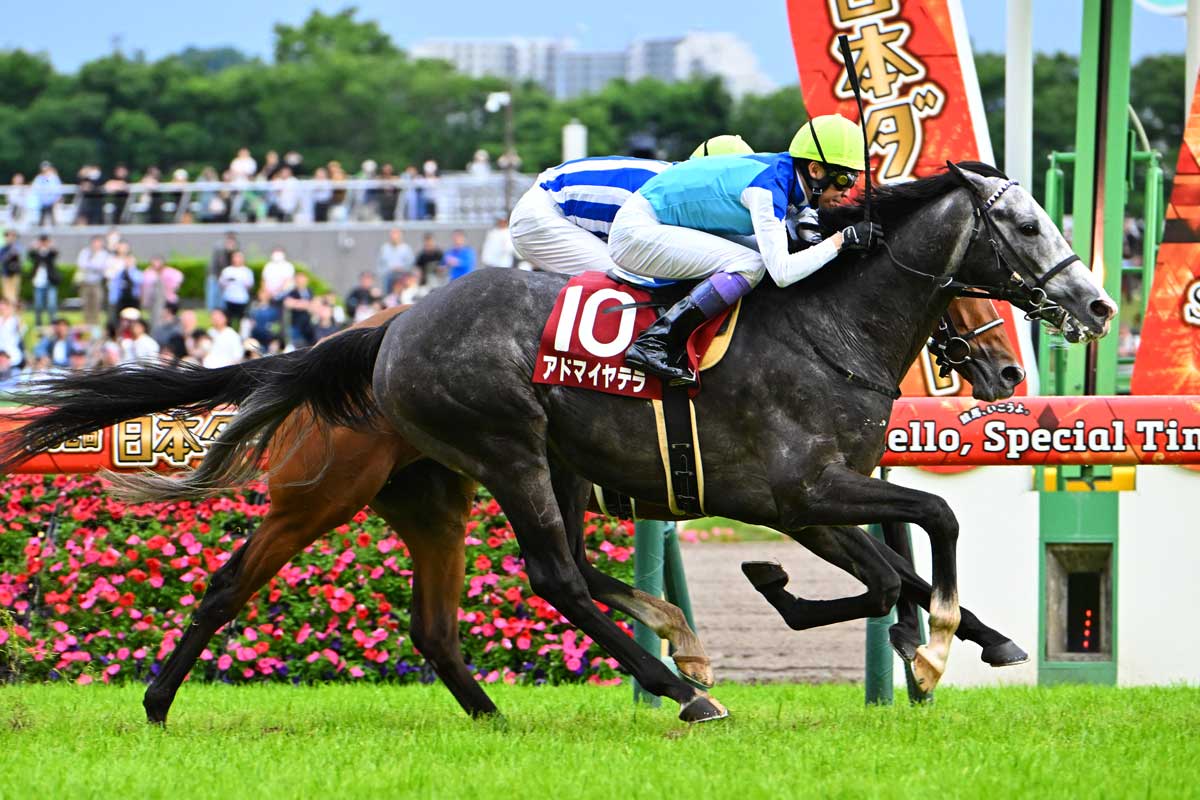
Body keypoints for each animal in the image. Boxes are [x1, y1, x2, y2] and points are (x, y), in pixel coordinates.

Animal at [1, 162, 1114, 722]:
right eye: (1021, 224)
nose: (1097, 304)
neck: (824, 326)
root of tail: (380, 332)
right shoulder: (796, 491)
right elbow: (930, 524)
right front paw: (929, 648)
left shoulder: (819, 495)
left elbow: (902, 560)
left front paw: (955, 643)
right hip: (481, 458)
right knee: (543, 576)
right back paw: (682, 688)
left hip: (443, 492)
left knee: (451, 617)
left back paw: (510, 704)